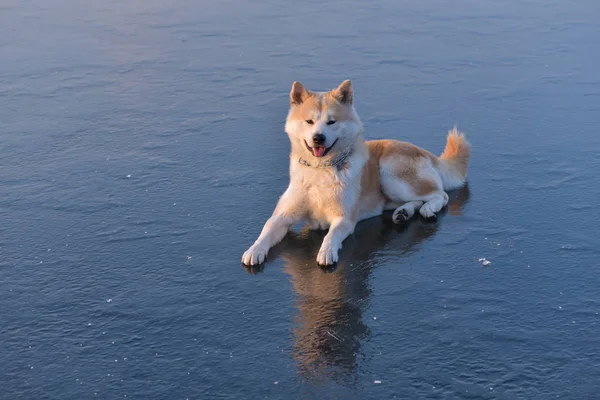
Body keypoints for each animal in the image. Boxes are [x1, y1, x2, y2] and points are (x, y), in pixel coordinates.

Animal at [241, 79, 472, 266]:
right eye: (309, 121)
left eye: (331, 121)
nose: (318, 138)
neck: (320, 170)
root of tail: (424, 151)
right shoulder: (284, 215)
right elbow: (267, 228)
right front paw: (254, 250)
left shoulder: (344, 218)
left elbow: (331, 235)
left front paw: (326, 252)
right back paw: (403, 213)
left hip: (389, 173)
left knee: (440, 195)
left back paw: (427, 209)